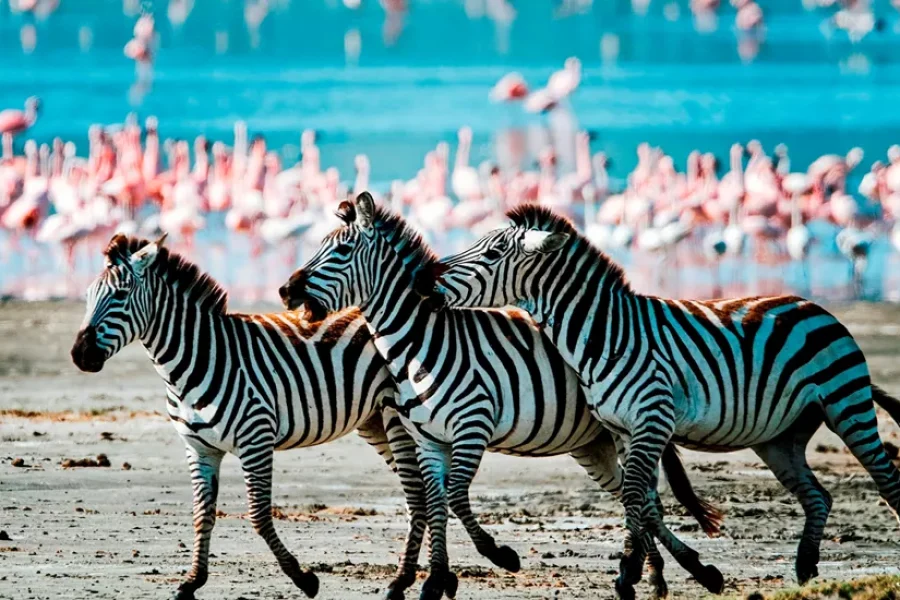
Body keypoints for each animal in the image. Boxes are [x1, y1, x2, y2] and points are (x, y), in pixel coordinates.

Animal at [71, 233, 440, 600]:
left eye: (120, 295)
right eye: (87, 297)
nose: (79, 354)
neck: (195, 359)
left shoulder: (256, 438)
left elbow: (259, 516)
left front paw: (304, 578)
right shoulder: (199, 449)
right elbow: (202, 514)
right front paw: (192, 581)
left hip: (397, 419)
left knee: (417, 493)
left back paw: (406, 579)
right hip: (374, 422)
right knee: (420, 492)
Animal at [280, 192, 724, 600]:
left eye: (341, 250)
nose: (285, 291)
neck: (422, 340)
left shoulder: (471, 426)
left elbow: (454, 497)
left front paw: (498, 556)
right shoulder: (428, 437)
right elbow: (438, 501)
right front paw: (435, 581)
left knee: (644, 497)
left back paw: (681, 572)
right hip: (596, 444)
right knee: (639, 497)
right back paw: (658, 574)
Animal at [430, 203, 900, 600]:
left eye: (493, 253)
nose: (429, 287)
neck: (605, 334)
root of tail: (811, 304)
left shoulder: (651, 420)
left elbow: (636, 495)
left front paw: (628, 572)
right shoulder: (623, 430)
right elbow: (640, 498)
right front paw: (650, 571)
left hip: (846, 403)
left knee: (886, 480)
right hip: (779, 439)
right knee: (818, 496)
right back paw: (805, 571)